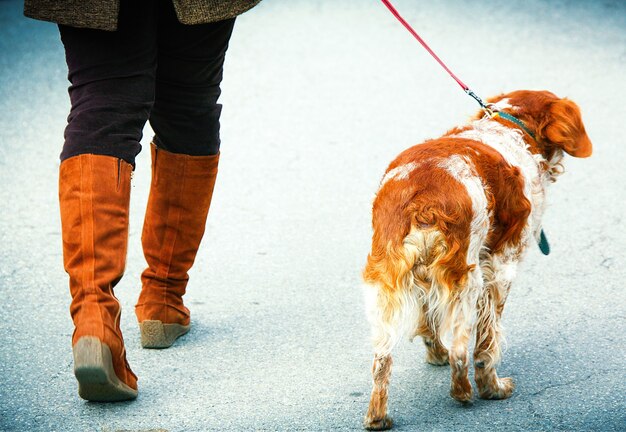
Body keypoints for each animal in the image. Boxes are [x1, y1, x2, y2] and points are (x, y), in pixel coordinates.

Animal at [360, 90, 588, 428]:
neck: (509, 124)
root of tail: (423, 200)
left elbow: (429, 325)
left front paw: (435, 355)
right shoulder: (501, 266)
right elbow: (486, 343)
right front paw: (492, 387)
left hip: (386, 282)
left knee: (381, 360)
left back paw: (378, 417)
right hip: (466, 280)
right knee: (460, 350)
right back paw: (468, 392)